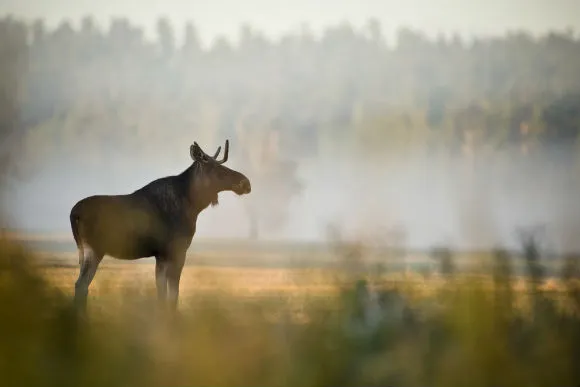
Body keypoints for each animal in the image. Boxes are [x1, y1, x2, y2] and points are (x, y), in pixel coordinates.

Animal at [68, 141, 249, 310]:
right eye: (215, 168)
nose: (246, 183)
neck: (193, 205)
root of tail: (73, 213)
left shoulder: (161, 255)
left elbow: (162, 294)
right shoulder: (177, 250)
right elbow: (173, 295)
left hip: (84, 251)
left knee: (81, 285)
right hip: (94, 249)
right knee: (81, 285)